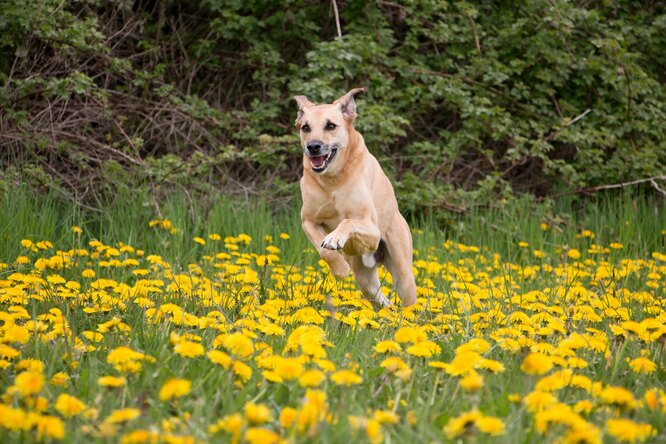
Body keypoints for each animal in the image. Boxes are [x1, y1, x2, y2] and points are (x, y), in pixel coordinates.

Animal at [292, 88, 416, 306]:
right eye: (306, 127)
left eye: (331, 126)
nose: (313, 146)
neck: (333, 180)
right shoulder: (308, 221)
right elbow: (324, 250)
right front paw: (340, 268)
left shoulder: (372, 230)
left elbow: (348, 221)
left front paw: (335, 238)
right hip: (366, 281)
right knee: (385, 303)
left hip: (403, 274)